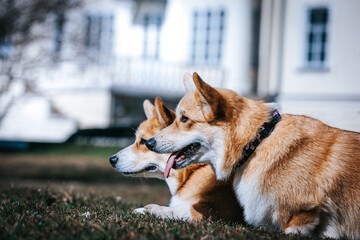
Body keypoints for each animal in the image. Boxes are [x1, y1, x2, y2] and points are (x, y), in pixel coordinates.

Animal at [109, 97, 245, 223]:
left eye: (144, 141)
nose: (111, 159)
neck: (191, 171)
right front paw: (141, 210)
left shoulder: (219, 208)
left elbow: (182, 209)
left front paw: (154, 209)